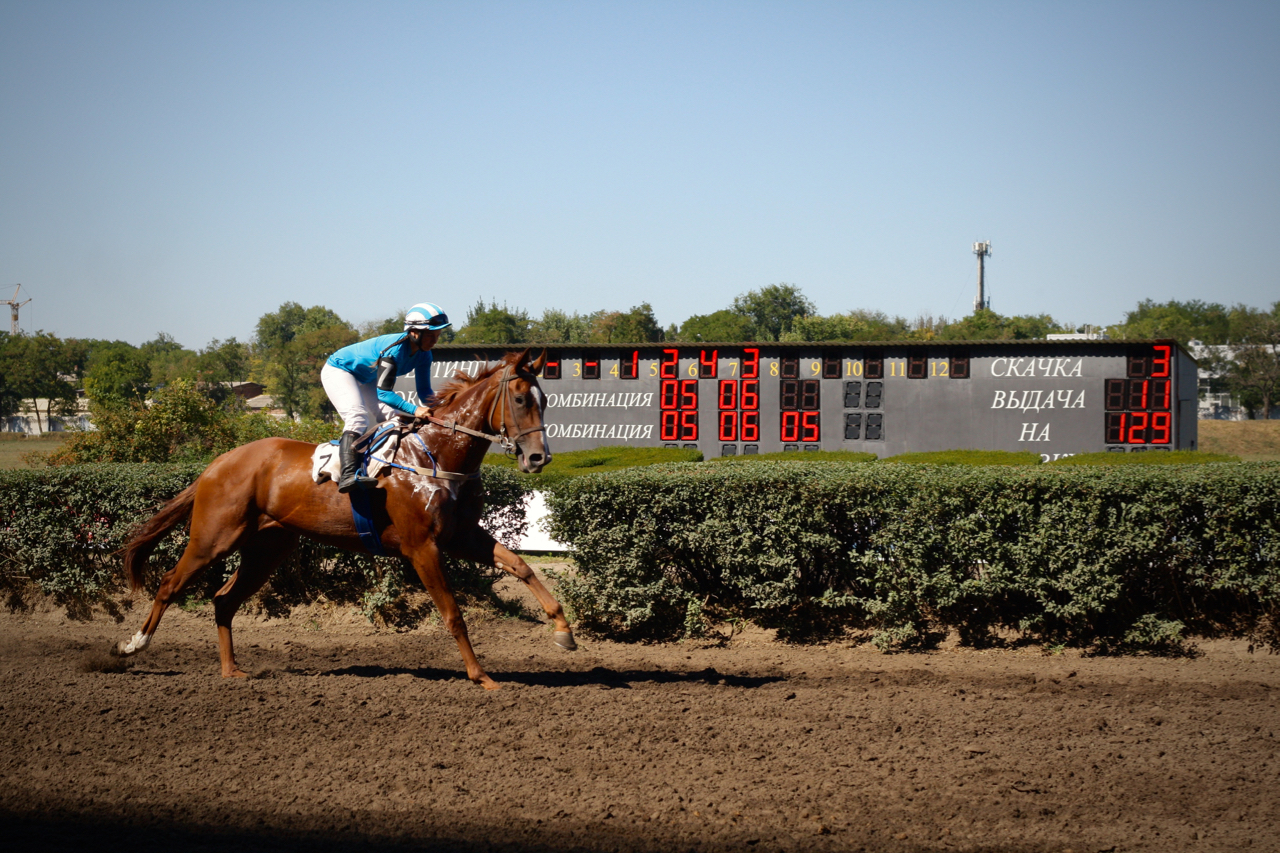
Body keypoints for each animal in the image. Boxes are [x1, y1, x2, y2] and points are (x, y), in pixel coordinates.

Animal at [115, 345, 576, 686]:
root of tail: (217, 463)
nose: (539, 458)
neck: (437, 453)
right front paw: (481, 676)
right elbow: (453, 613)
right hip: (214, 538)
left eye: (545, 400)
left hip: (268, 547)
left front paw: (563, 631)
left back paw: (232, 670)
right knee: (169, 584)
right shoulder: (422, 547)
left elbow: (521, 566)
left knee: (224, 599)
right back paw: (132, 645)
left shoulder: (461, 536)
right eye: (520, 398)